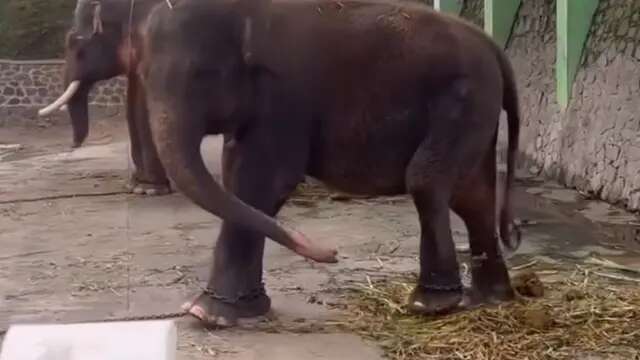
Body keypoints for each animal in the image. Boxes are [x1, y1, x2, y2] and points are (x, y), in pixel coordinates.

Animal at [138, 0, 524, 328]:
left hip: (464, 98)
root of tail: (494, 48)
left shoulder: (285, 97)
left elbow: (260, 183)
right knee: (471, 198)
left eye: (202, 75)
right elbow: (237, 177)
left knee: (427, 182)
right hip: (476, 108)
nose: (333, 253)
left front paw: (207, 314)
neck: (245, 12)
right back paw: (490, 298)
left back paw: (430, 304)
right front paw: (231, 311)